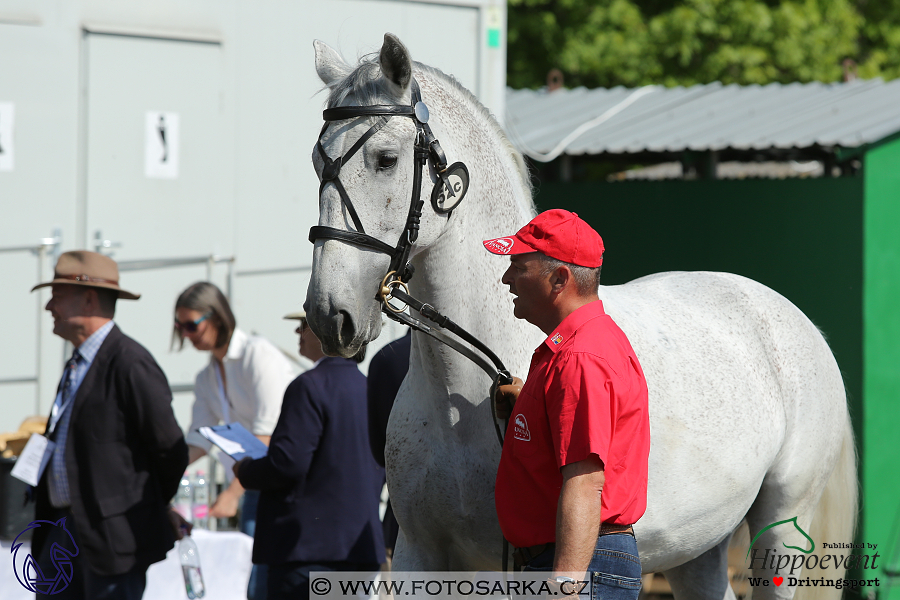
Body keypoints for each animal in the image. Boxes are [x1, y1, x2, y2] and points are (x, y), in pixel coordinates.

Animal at [304, 34, 856, 600]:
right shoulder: (423, 556)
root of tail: (791, 318)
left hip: (780, 529)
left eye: (386, 159)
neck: (472, 386)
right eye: (317, 162)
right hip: (697, 546)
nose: (330, 315)